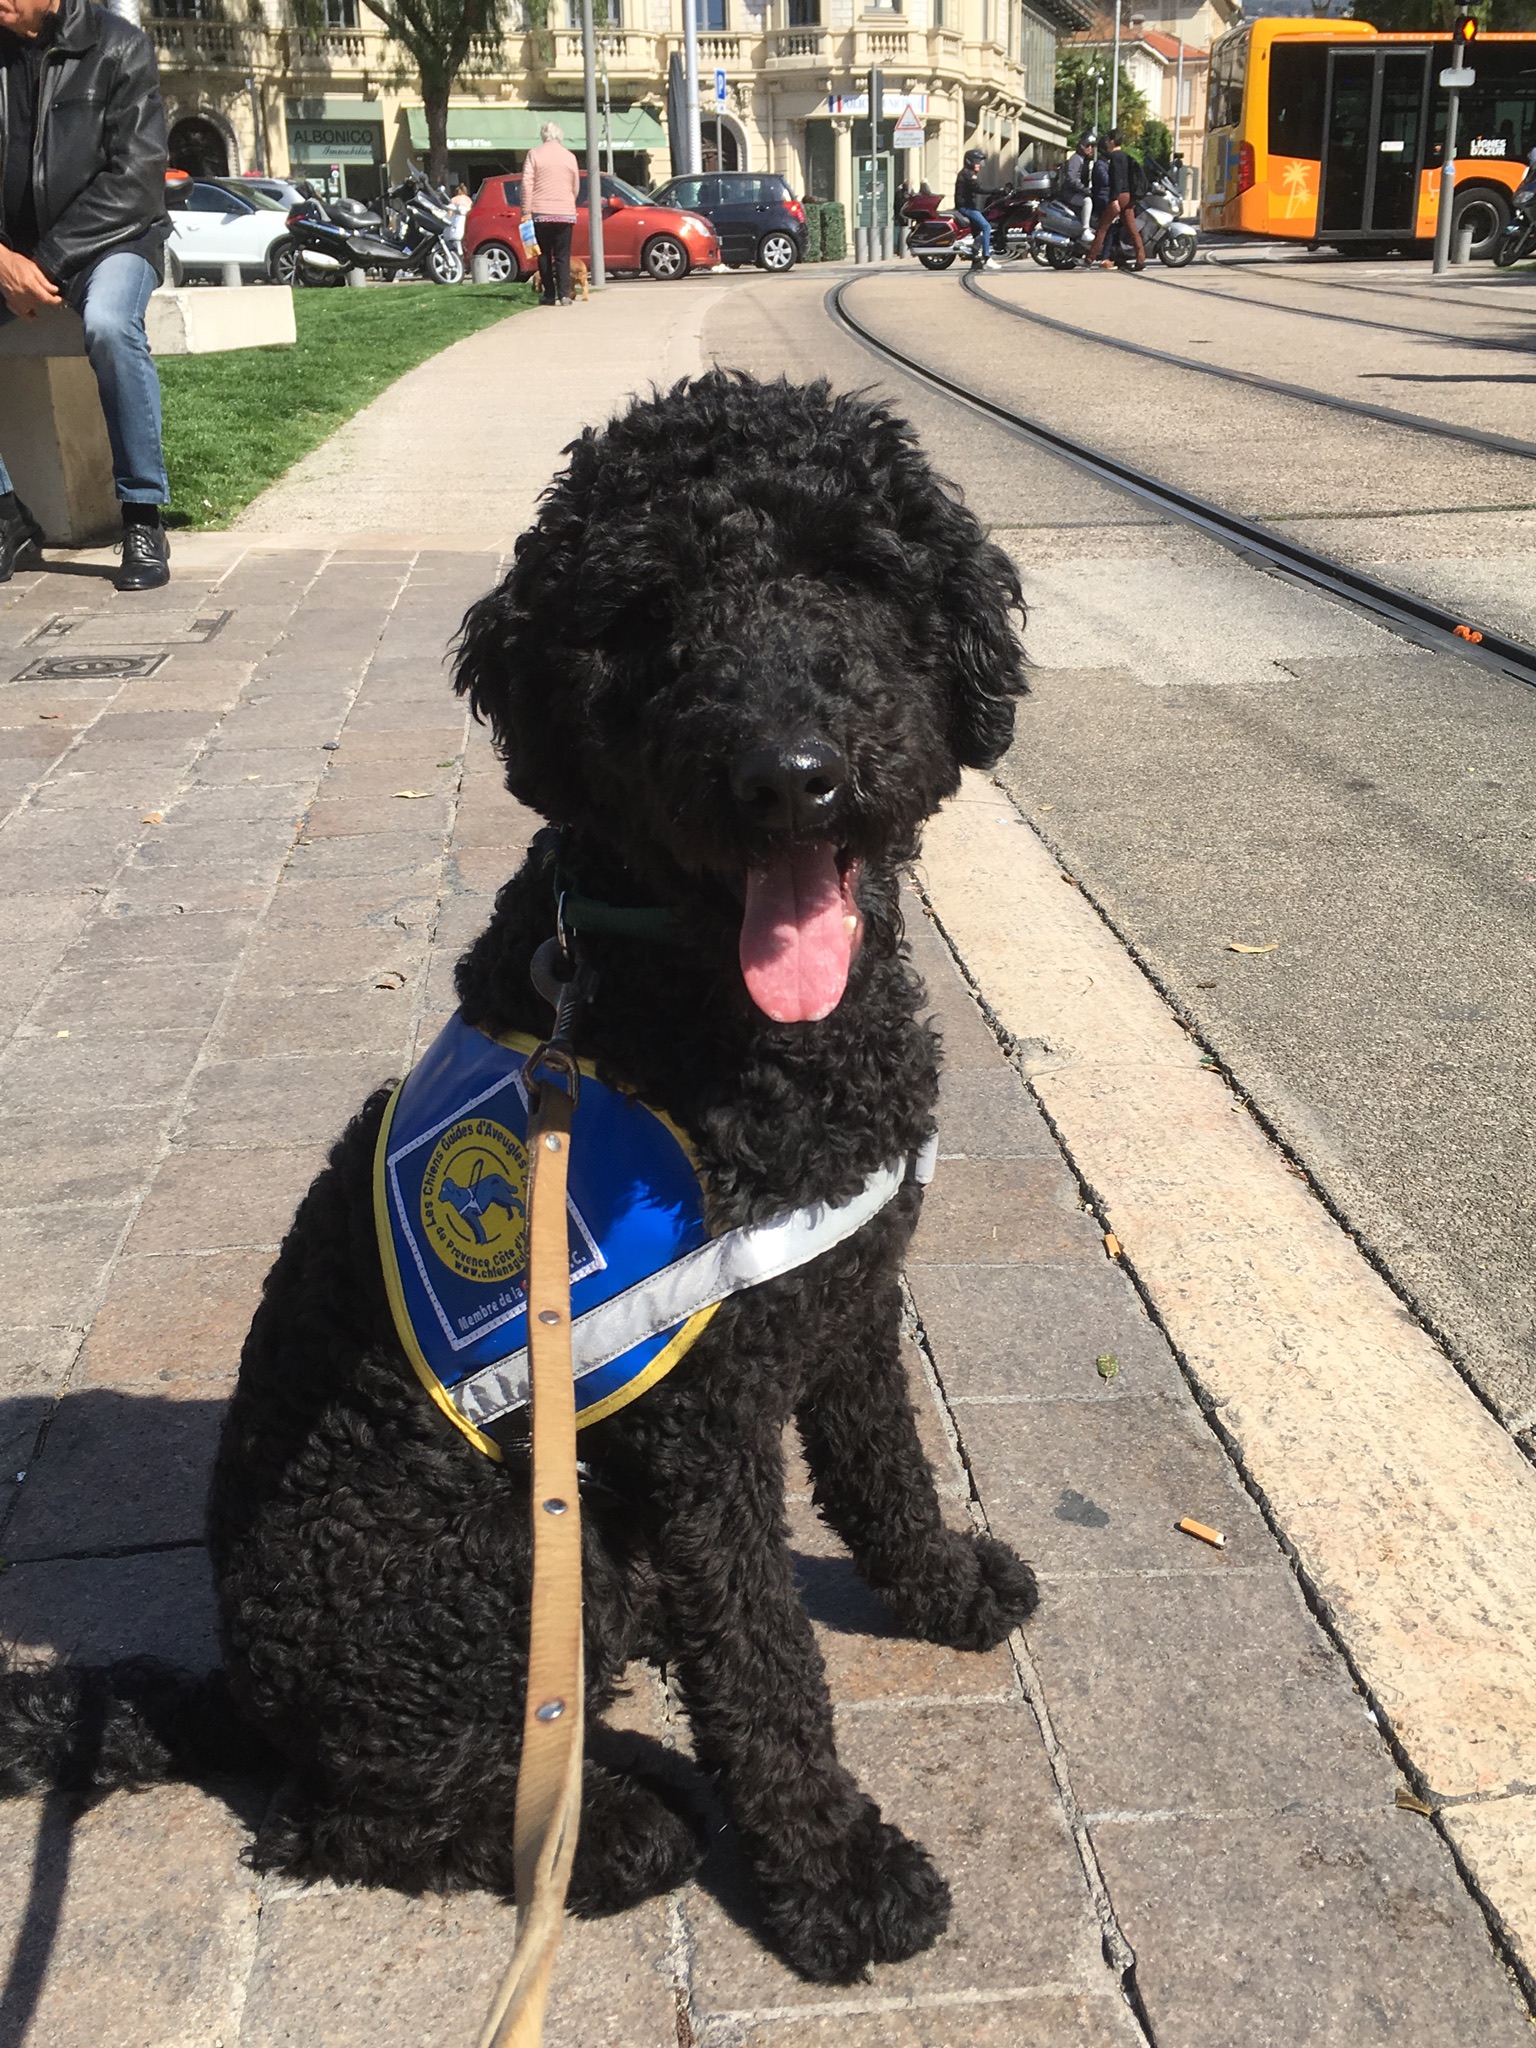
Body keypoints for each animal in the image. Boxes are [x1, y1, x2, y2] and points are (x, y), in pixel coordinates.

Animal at [0, 372, 1040, 1982]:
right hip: (472, 1573)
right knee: (362, 1813)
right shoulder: (703, 1425)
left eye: (857, 572)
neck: (702, 1005)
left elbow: (885, 1468)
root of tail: (241, 1682)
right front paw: (829, 1865)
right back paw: (608, 1829)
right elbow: (767, 1666)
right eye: (646, 610)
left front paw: (937, 1585)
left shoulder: (849, 1294)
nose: (788, 778)